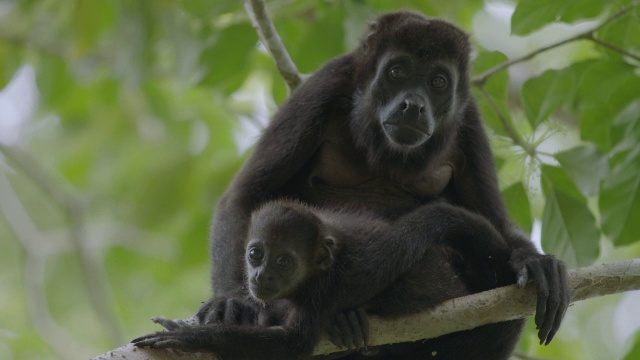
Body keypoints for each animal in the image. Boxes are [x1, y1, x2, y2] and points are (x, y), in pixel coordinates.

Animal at [135, 9, 568, 358]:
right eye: (397, 72)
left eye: (439, 82)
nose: (414, 104)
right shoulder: (327, 83)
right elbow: (245, 195)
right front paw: (229, 304)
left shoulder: (469, 121)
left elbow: (491, 218)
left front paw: (534, 261)